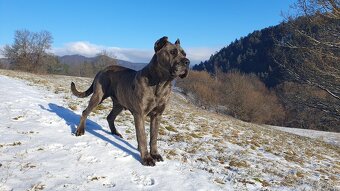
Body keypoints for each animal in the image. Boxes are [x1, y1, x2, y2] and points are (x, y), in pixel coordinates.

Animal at [70, 36, 190, 166]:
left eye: (184, 53)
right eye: (172, 52)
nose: (187, 62)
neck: (161, 83)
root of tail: (102, 69)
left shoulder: (157, 115)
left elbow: (154, 137)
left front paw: (155, 154)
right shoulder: (139, 114)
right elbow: (142, 137)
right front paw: (146, 158)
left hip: (119, 104)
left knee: (110, 117)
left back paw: (115, 133)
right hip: (98, 97)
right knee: (85, 112)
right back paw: (80, 130)